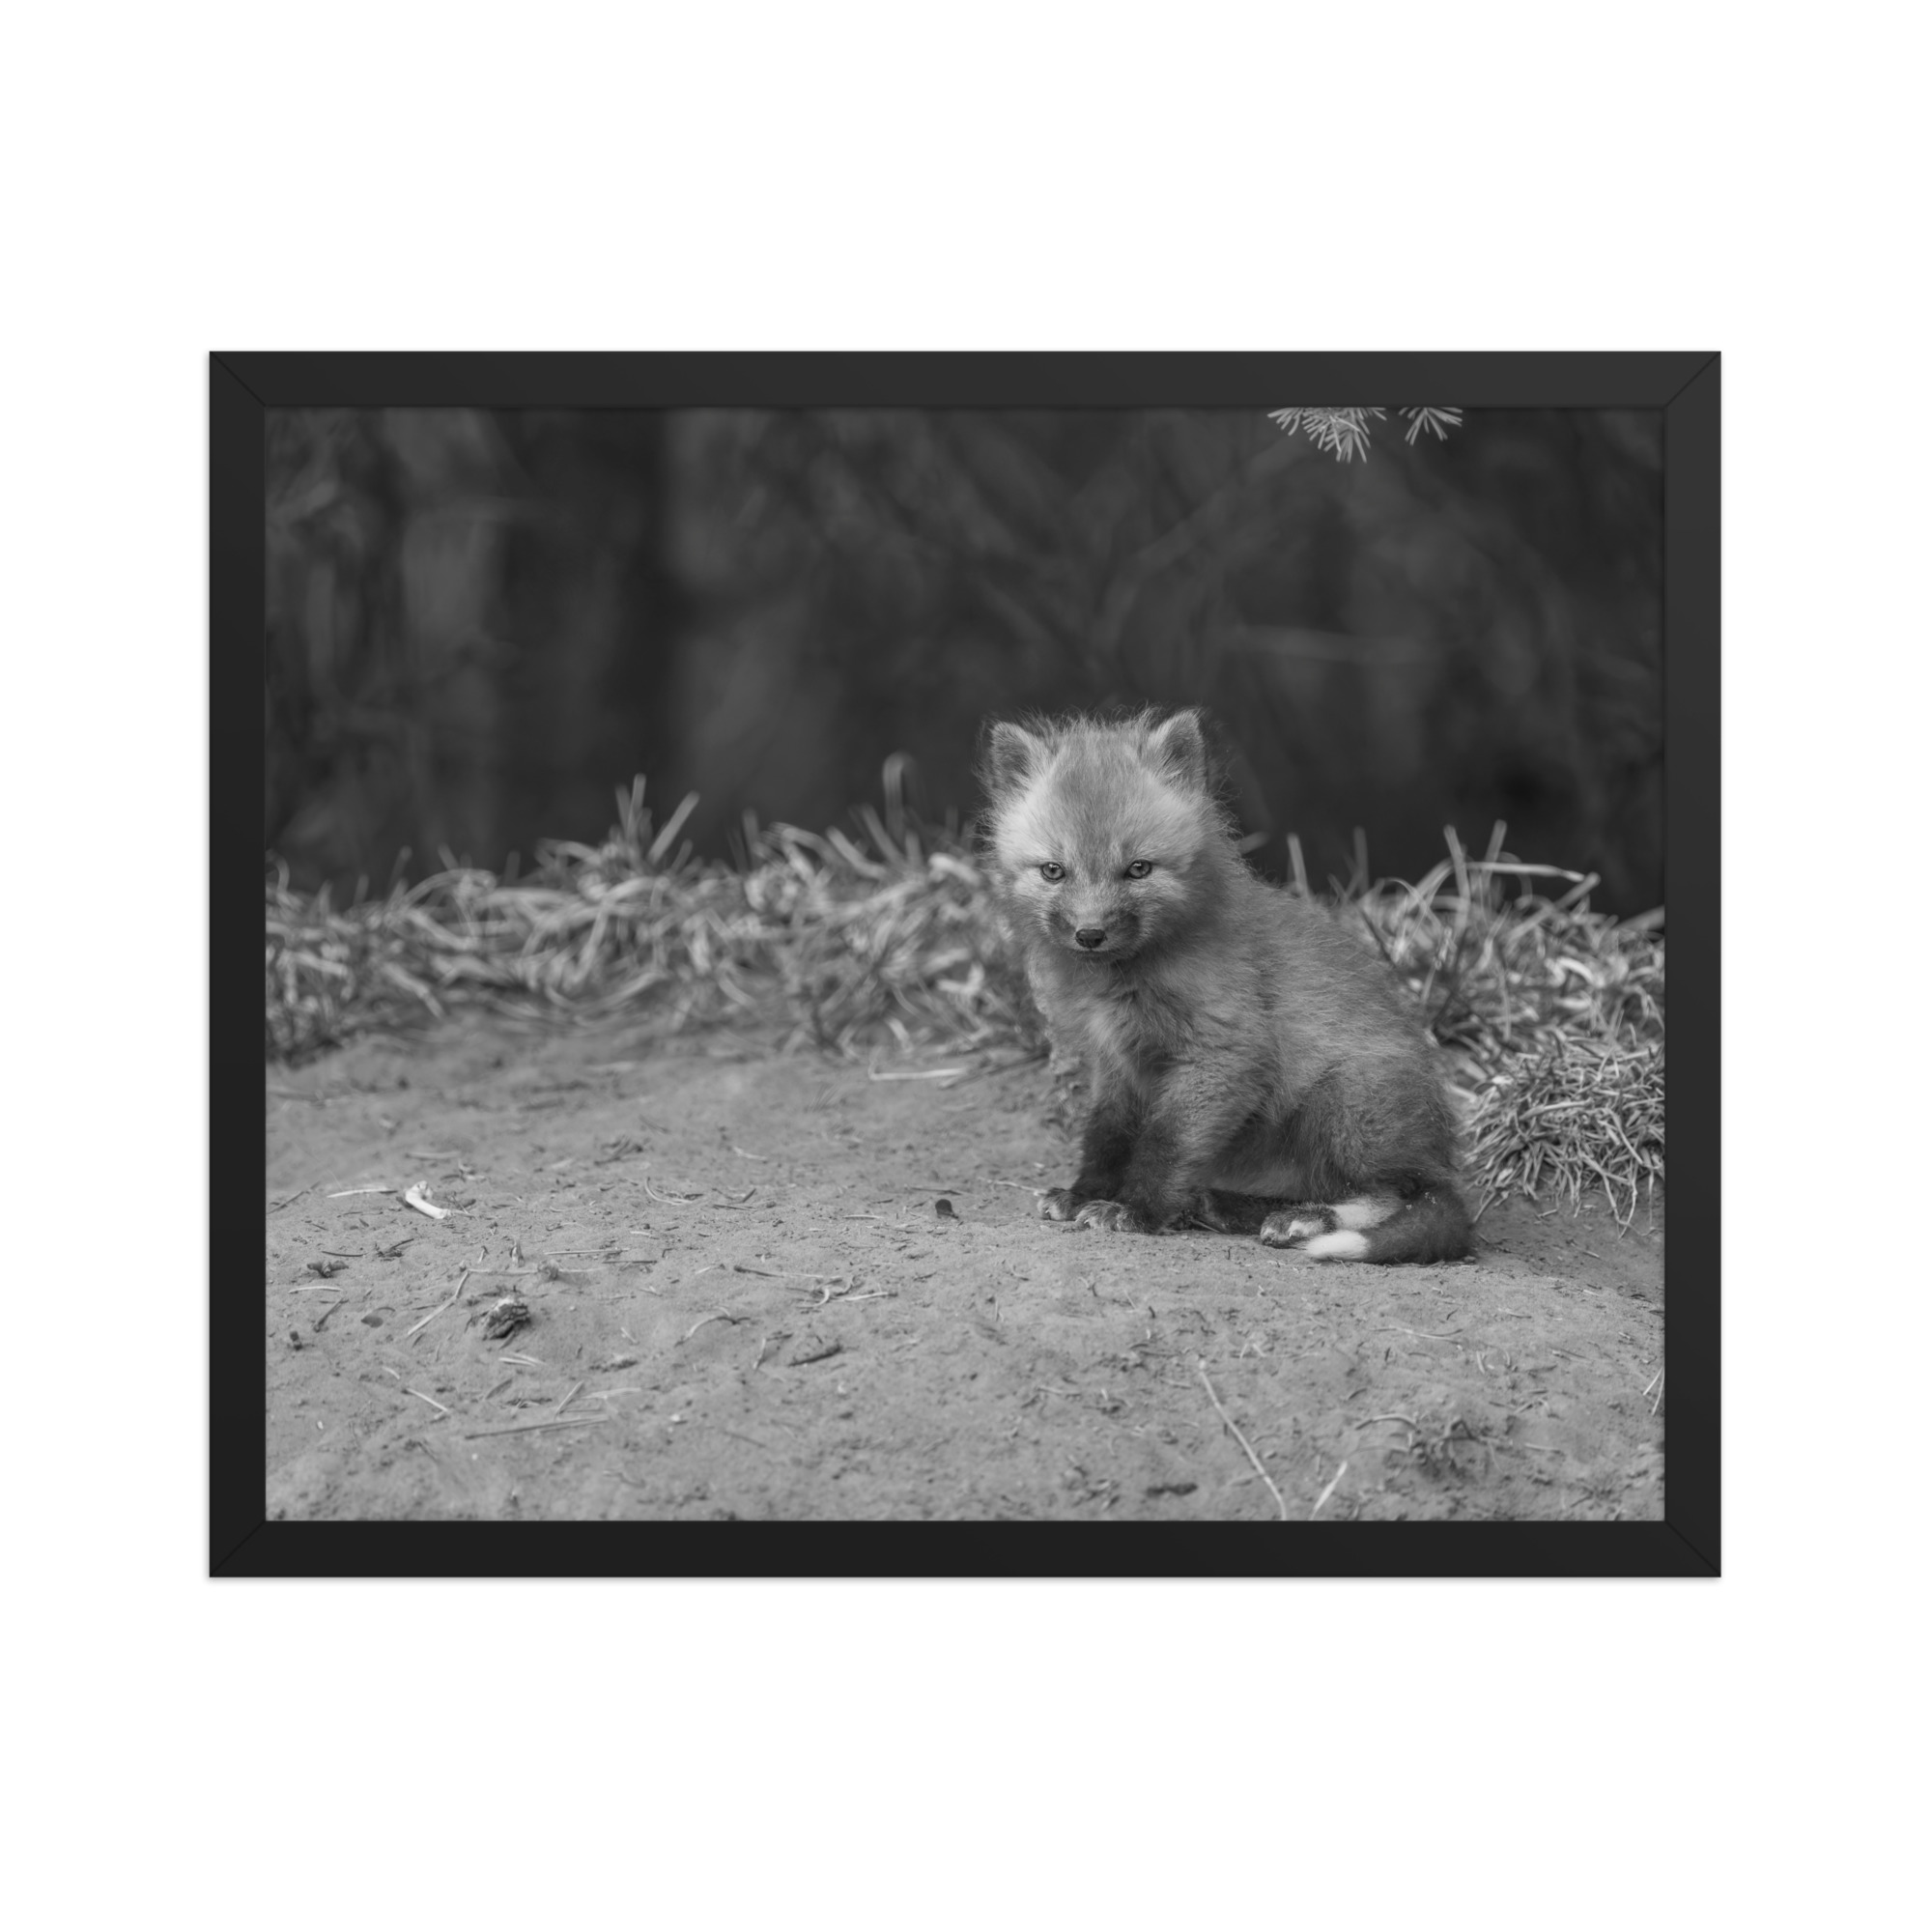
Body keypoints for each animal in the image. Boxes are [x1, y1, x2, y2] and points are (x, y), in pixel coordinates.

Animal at [978, 707, 1470, 1264]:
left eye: (1138, 869)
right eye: (1053, 871)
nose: (1090, 934)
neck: (1124, 982)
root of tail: (1440, 1155)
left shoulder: (1222, 1055)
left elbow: (1165, 1143)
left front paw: (1136, 1210)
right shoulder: (1116, 1063)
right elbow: (1106, 1136)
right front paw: (1085, 1193)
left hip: (1344, 1102)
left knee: (1397, 1195)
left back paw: (1304, 1220)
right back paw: (1228, 1206)